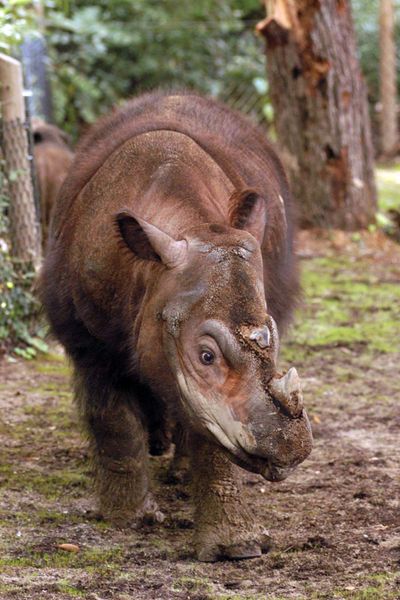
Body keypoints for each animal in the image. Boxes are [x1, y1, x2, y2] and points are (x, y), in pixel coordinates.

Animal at [41, 91, 316, 560]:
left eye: (273, 341)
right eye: (205, 355)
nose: (289, 449)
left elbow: (210, 429)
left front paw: (237, 549)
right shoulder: (87, 341)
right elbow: (111, 417)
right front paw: (126, 519)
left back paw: (181, 476)